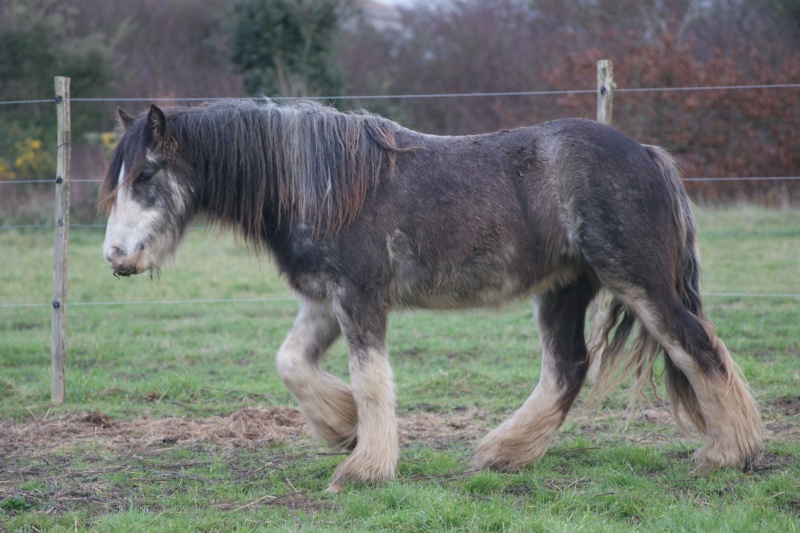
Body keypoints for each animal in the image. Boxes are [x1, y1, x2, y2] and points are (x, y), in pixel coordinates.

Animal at [100, 97, 764, 488]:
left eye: (147, 174)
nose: (116, 256)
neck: (323, 183)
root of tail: (648, 155)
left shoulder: (358, 298)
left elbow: (371, 379)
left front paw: (364, 468)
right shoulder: (323, 301)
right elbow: (291, 363)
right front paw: (343, 429)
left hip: (639, 282)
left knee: (696, 348)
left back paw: (725, 455)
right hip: (563, 289)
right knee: (567, 369)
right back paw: (499, 455)